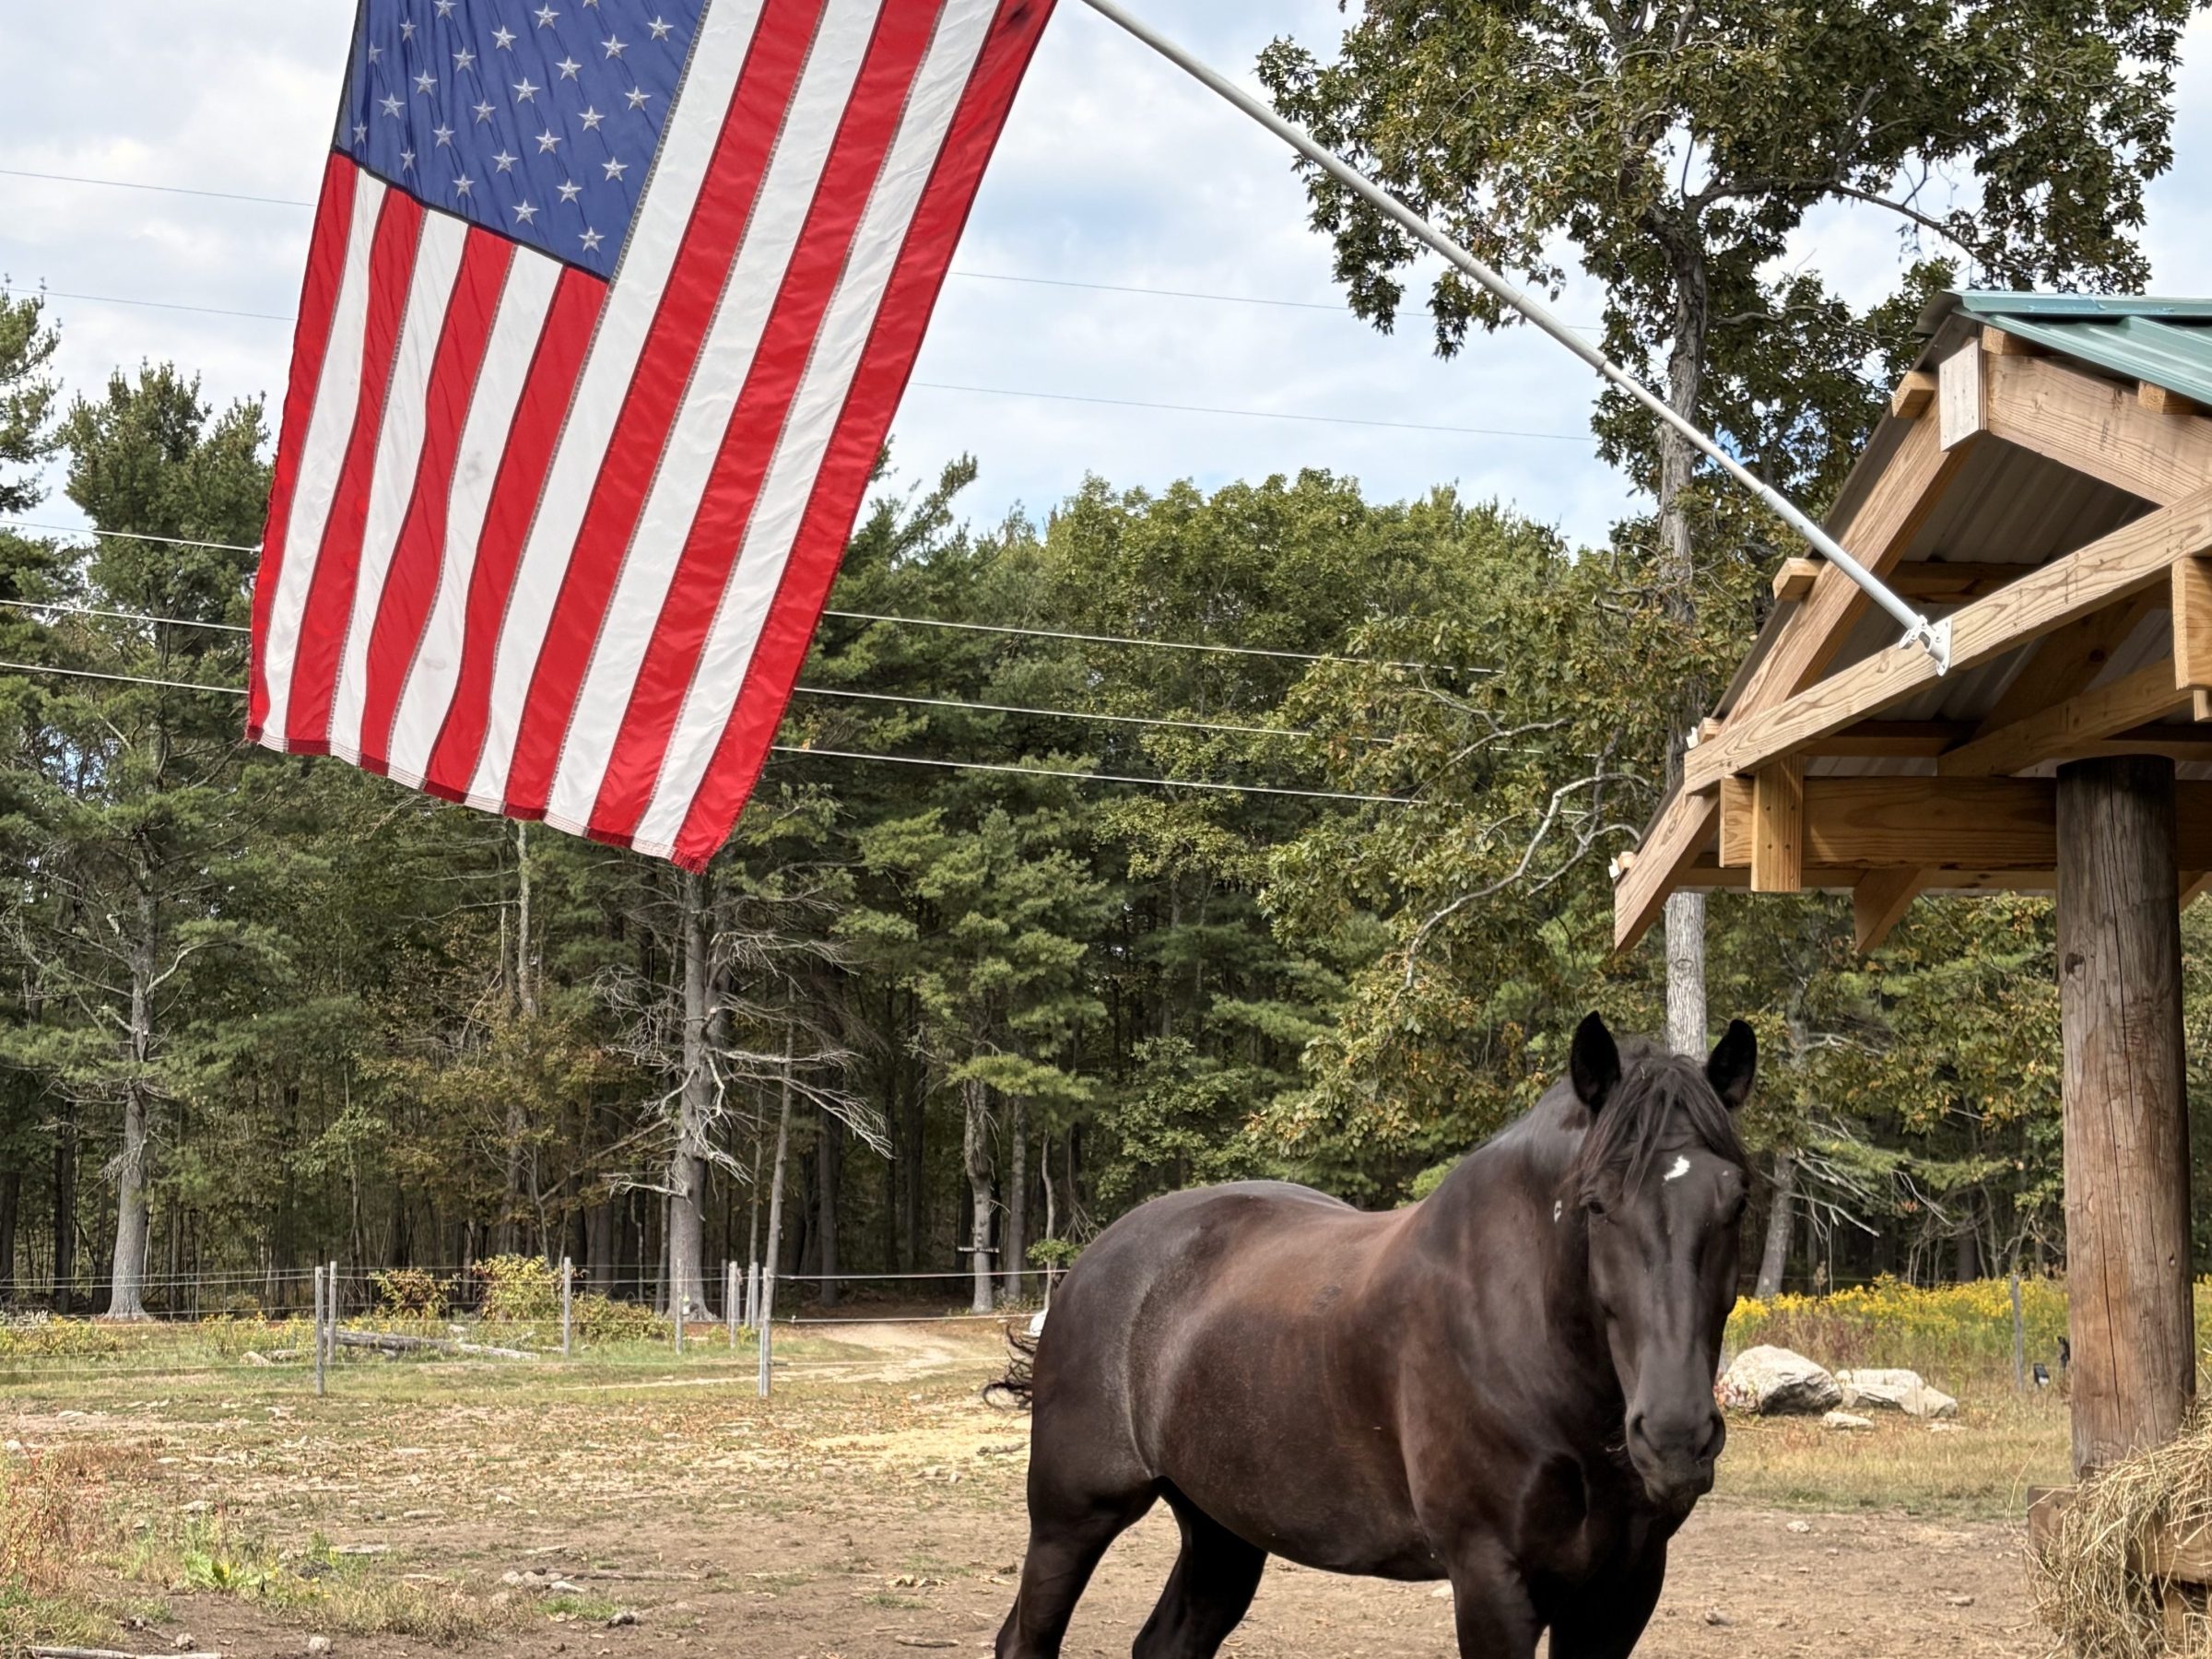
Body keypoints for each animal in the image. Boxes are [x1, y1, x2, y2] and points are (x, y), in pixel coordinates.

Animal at [993, 1010, 1756, 1659]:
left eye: (1738, 1200)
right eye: (1597, 1204)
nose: (1676, 1438)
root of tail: (1095, 1258)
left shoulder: (1622, 1588)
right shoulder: (1491, 1576)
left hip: (1221, 1528)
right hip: (1072, 1516)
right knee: (1024, 1638)